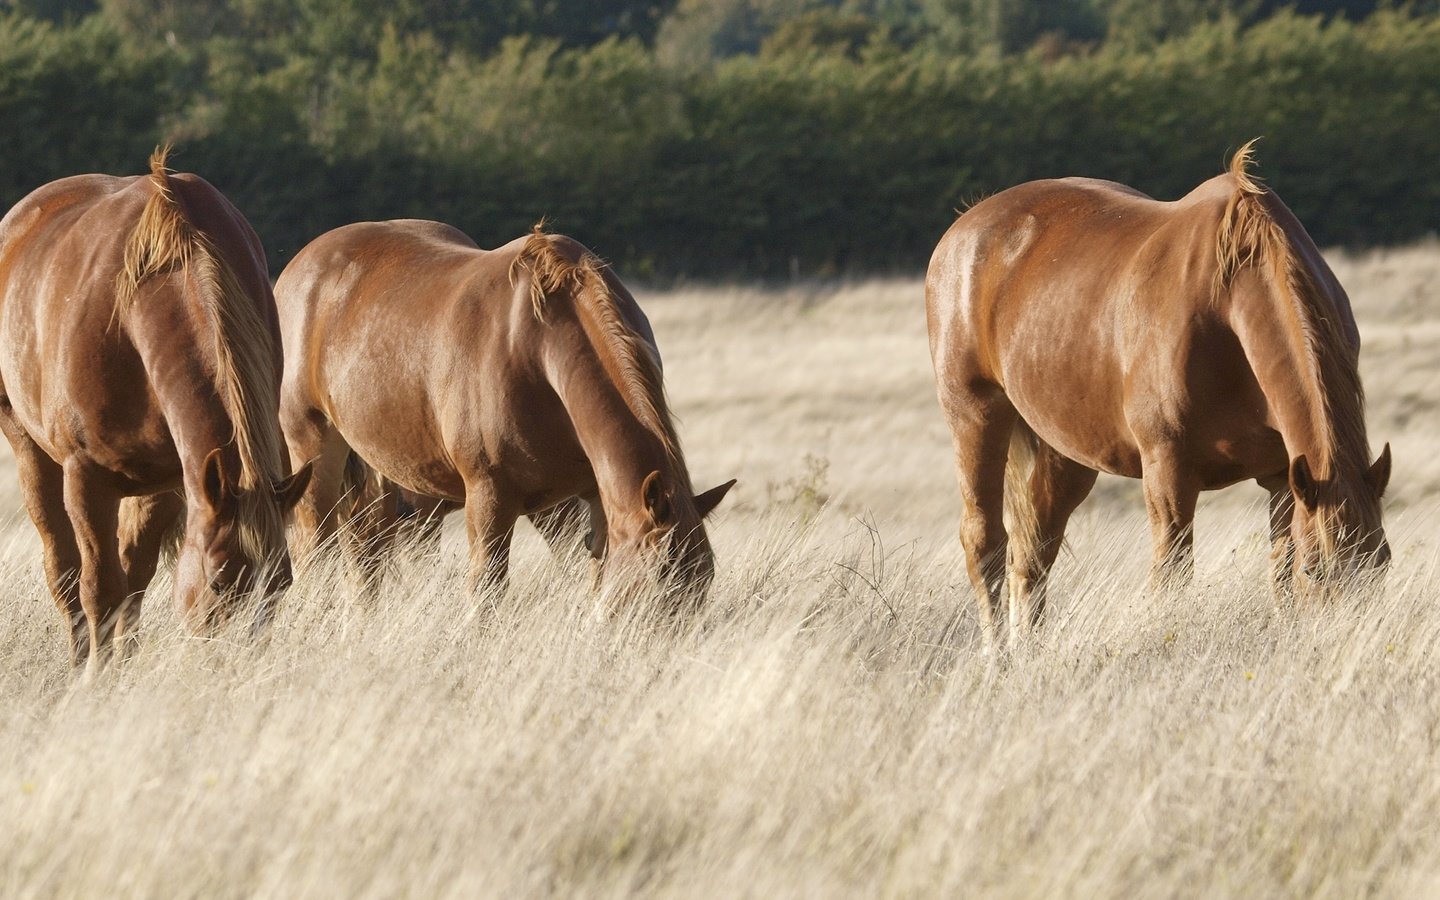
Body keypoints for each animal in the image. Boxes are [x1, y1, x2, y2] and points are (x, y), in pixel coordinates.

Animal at [0, 149, 312, 668]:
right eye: (219, 582)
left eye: (282, 584)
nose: (237, 668)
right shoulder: (86, 479)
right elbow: (100, 590)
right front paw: (97, 676)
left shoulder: (174, 480)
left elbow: (132, 583)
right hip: (31, 451)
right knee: (64, 573)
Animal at [276, 221, 737, 607]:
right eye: (660, 581)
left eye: (704, 581)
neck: (540, 348)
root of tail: (300, 265)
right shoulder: (489, 498)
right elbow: (486, 594)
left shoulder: (593, 499)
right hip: (315, 455)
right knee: (317, 548)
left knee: (365, 552)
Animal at [927, 141, 1388, 645]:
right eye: (1316, 571)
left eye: (1381, 565)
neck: (1227, 304)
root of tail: (966, 225)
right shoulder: (1169, 474)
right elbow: (1172, 578)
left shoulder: (1282, 478)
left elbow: (1278, 577)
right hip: (975, 417)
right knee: (985, 544)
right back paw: (997, 656)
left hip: (1062, 451)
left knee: (1032, 554)